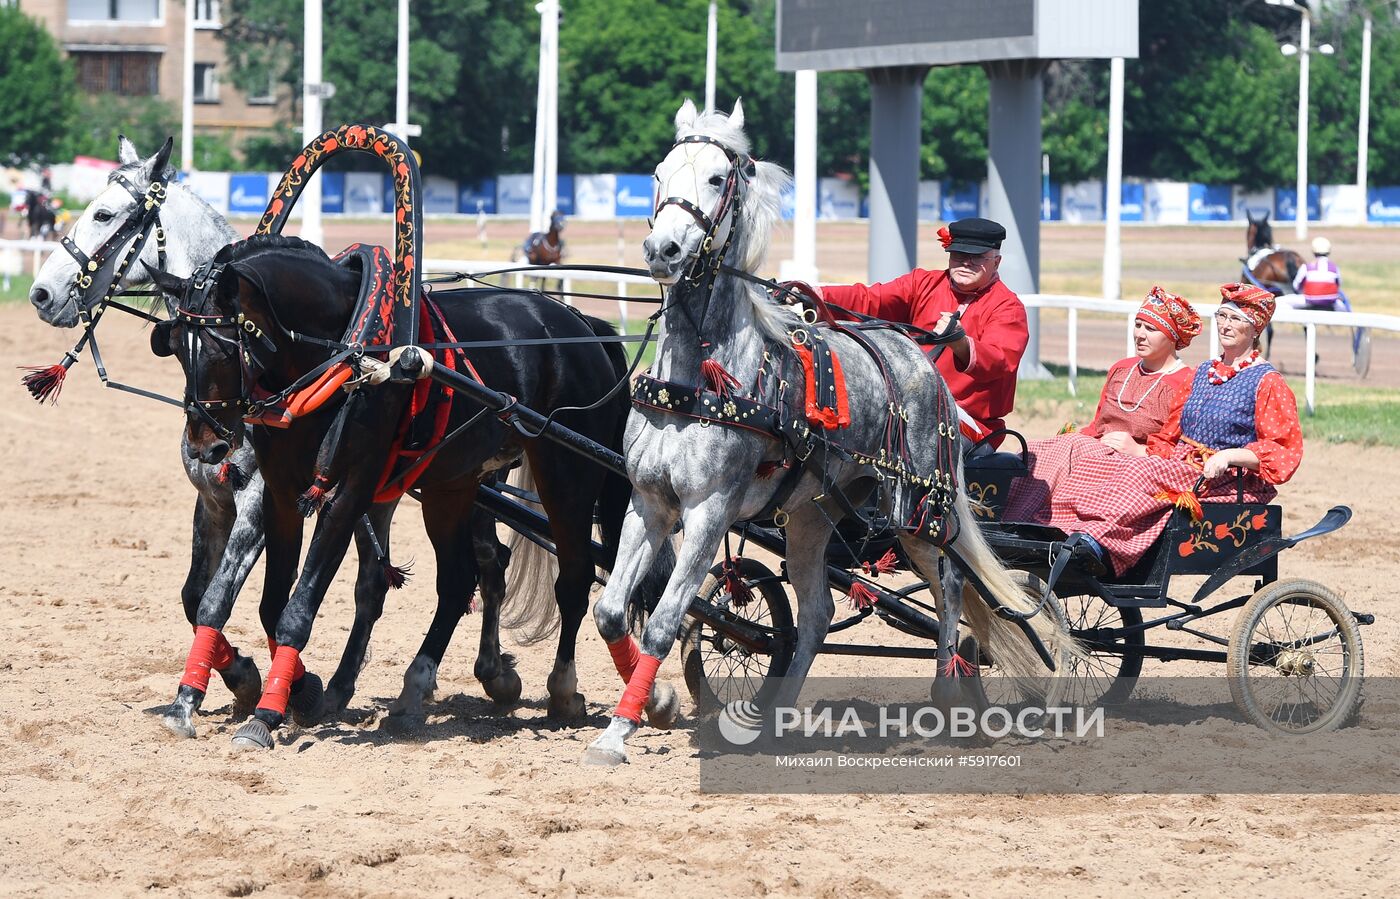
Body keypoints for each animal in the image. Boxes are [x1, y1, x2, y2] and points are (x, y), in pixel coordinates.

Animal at [579, 99, 1069, 761]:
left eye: (717, 177)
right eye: (659, 173)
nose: (665, 248)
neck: (701, 377)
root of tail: (922, 360)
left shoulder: (710, 509)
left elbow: (662, 622)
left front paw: (626, 725)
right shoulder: (650, 501)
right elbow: (610, 610)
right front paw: (647, 708)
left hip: (918, 514)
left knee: (949, 589)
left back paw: (947, 696)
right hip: (812, 517)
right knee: (817, 611)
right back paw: (776, 715)